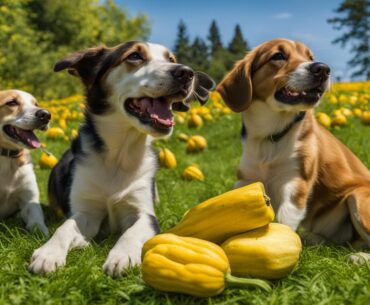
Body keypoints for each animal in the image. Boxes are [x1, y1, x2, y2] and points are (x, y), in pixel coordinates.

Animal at [28, 41, 215, 276]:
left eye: (171, 59)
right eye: (134, 56)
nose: (186, 73)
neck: (119, 155)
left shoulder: (144, 213)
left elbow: (132, 232)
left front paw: (122, 256)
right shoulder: (85, 211)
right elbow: (65, 227)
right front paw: (49, 253)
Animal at [217, 38, 370, 262]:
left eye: (310, 57)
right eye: (278, 56)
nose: (322, 68)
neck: (271, 135)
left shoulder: (296, 180)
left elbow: (284, 218)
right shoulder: (246, 179)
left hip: (358, 197)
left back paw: (359, 257)